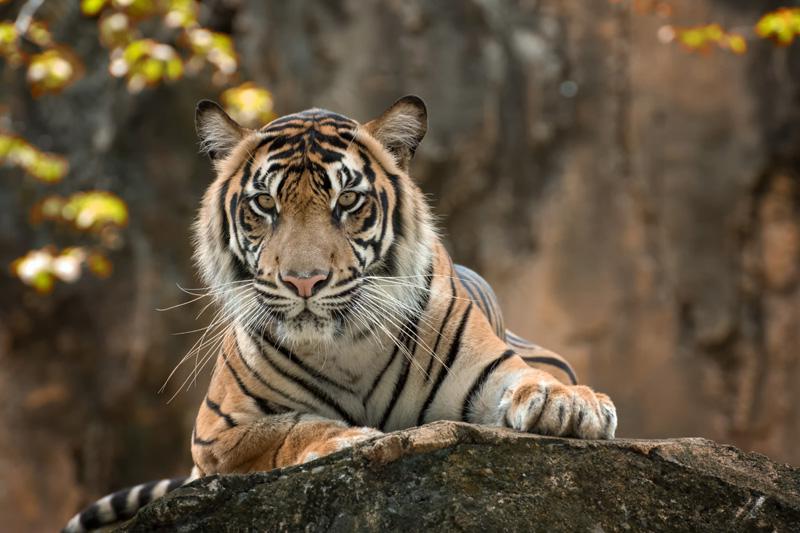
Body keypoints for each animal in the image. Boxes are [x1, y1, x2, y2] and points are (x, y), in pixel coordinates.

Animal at [64, 96, 616, 532]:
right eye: (264, 204)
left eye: (347, 200)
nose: (304, 281)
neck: (346, 346)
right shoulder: (217, 435)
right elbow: (288, 428)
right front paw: (349, 439)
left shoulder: (491, 369)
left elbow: (531, 382)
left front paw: (571, 405)